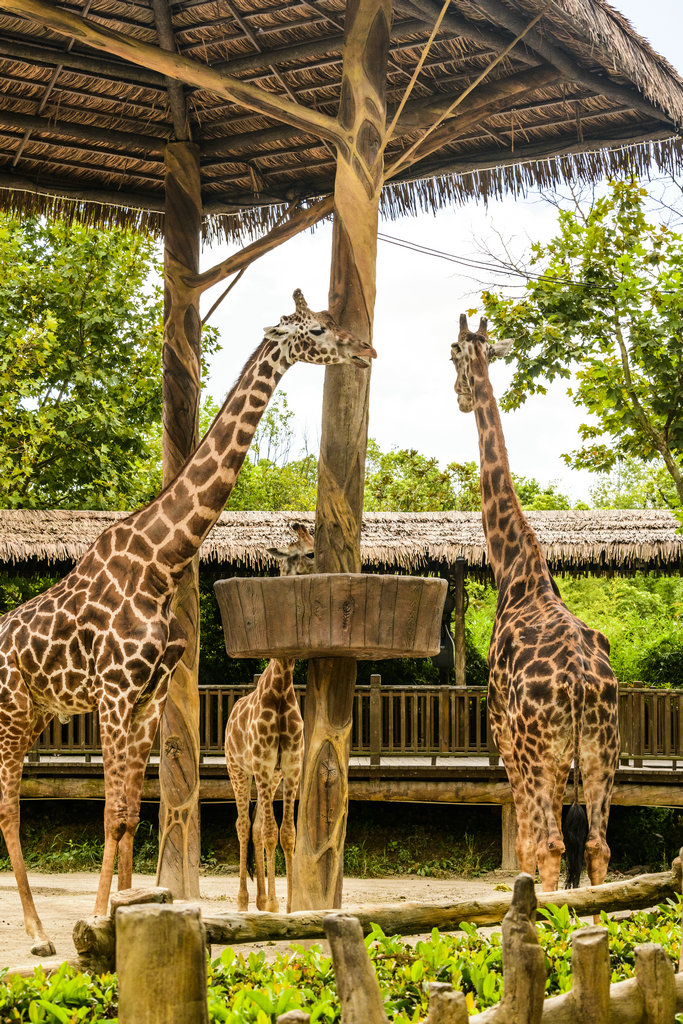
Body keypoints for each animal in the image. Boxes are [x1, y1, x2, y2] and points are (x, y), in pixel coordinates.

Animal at [0, 288, 376, 950]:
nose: (366, 351)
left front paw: (126, 910)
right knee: (8, 806)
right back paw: (39, 932)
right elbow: (113, 813)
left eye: (333, 321)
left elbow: (130, 813)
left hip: (39, 712)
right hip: (13, 711)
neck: (161, 560)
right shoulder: (115, 694)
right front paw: (96, 918)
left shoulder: (146, 698)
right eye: (315, 329)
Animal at [454, 315, 618, 892]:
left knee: (549, 844)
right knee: (596, 845)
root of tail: (580, 684)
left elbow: (524, 843)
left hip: (539, 748)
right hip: (601, 750)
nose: (459, 394)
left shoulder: (502, 733)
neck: (519, 573)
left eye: (452, 352)